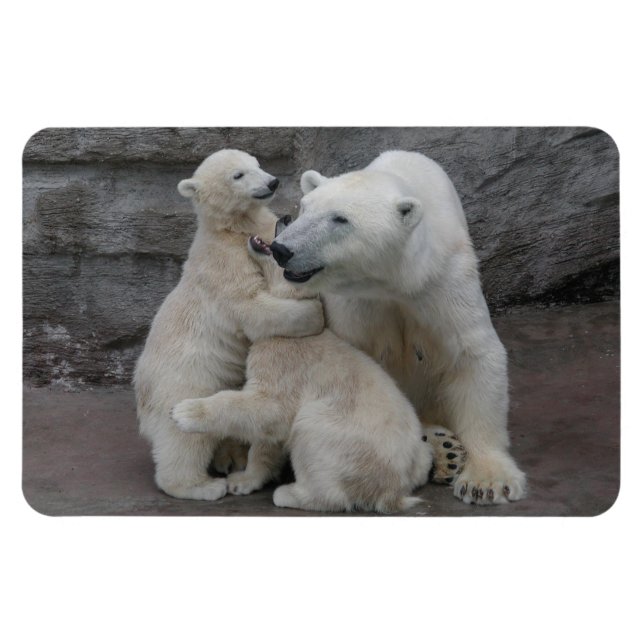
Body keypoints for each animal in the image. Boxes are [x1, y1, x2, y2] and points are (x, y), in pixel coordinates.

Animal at [133, 149, 324, 501]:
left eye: (258, 164)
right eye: (238, 175)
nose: (272, 182)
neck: (233, 229)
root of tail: (142, 395)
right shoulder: (223, 261)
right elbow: (250, 306)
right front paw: (314, 315)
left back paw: (231, 457)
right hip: (184, 381)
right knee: (182, 441)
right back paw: (203, 486)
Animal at [171, 222, 434, 513]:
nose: (284, 218)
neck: (295, 332)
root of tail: (393, 490)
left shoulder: (285, 362)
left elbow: (269, 407)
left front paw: (185, 412)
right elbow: (268, 435)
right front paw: (243, 480)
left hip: (347, 442)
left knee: (310, 429)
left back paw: (290, 494)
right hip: (417, 456)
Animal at [267, 150, 527, 505]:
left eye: (340, 219)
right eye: (305, 207)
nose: (282, 249)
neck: (394, 279)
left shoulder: (443, 278)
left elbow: (473, 354)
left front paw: (486, 481)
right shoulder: (356, 303)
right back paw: (442, 447)